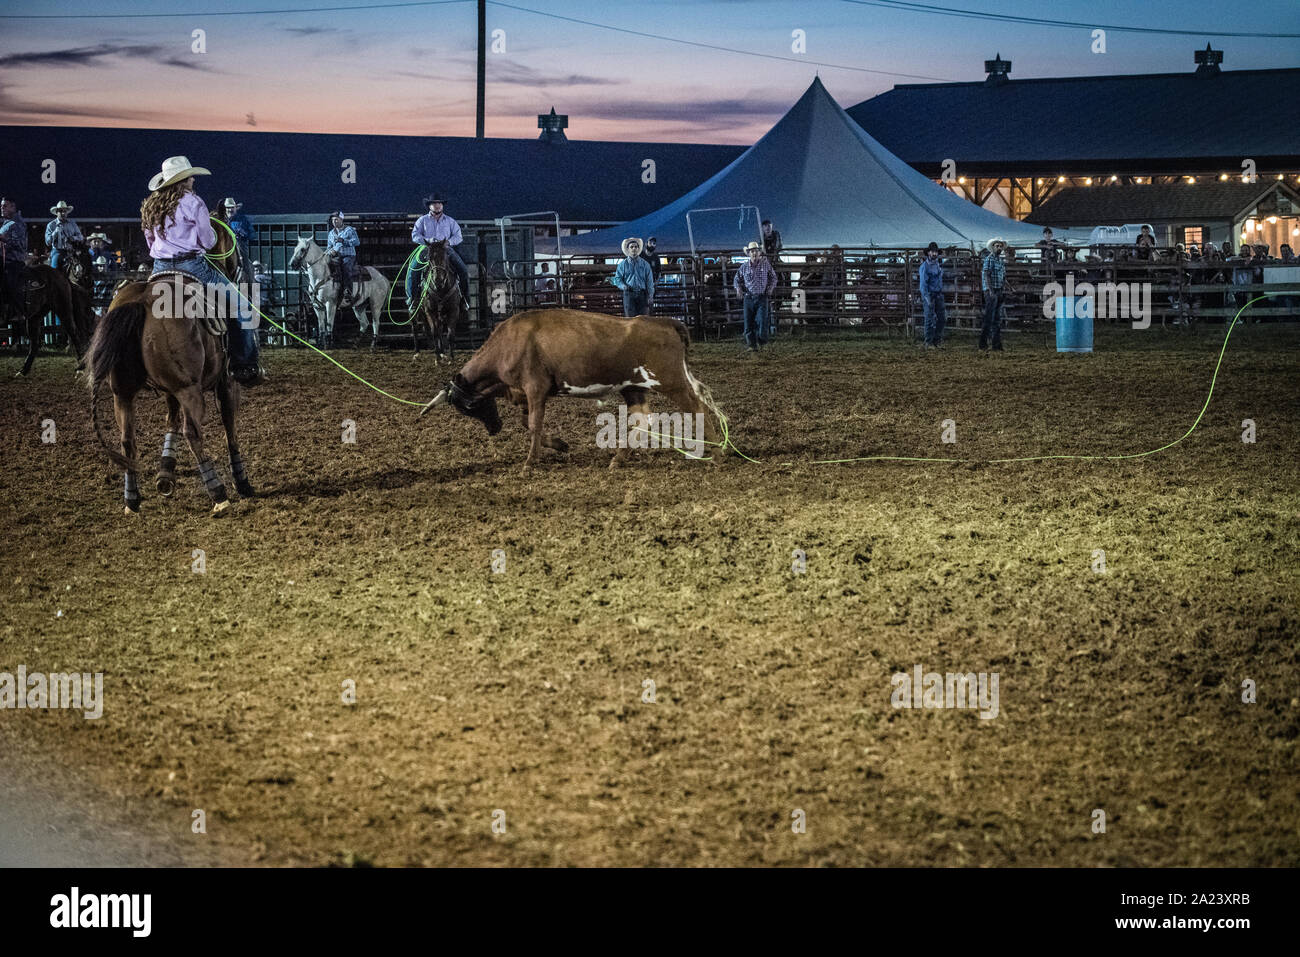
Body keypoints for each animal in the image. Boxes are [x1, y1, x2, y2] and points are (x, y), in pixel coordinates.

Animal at [85, 221, 253, 514]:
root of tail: (140, 301)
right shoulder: (226, 382)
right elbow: (229, 426)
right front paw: (241, 481)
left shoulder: (169, 388)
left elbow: (170, 419)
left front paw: (165, 474)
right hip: (189, 390)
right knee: (193, 432)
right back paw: (218, 493)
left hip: (123, 392)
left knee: (127, 439)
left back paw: (132, 499)